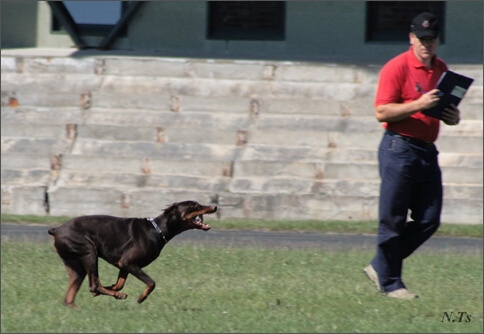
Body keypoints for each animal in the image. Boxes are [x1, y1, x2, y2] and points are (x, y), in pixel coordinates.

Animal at [48, 200, 216, 310]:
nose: (215, 206)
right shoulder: (128, 262)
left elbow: (120, 283)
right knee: (93, 285)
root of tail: (56, 230)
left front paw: (112, 288)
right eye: (194, 205)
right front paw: (140, 298)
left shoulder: (124, 265)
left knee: (70, 297)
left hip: (76, 266)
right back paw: (117, 296)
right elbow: (151, 283)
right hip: (89, 252)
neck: (157, 230)